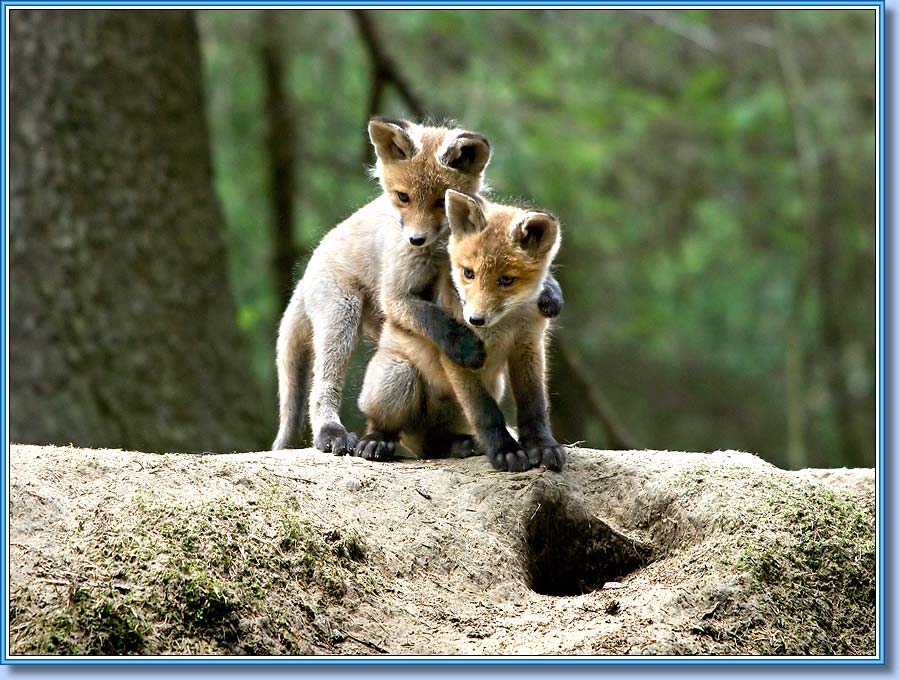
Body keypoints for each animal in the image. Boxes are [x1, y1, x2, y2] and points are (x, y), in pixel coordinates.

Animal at [355, 189, 566, 472]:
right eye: (469, 273)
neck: (506, 325)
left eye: (506, 280)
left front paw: (542, 445)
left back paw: (460, 444)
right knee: (386, 426)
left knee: (436, 445)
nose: (475, 319)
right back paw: (376, 440)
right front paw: (505, 450)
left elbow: (534, 406)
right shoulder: (456, 361)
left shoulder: (529, 344)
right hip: (399, 375)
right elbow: (485, 412)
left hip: (489, 389)